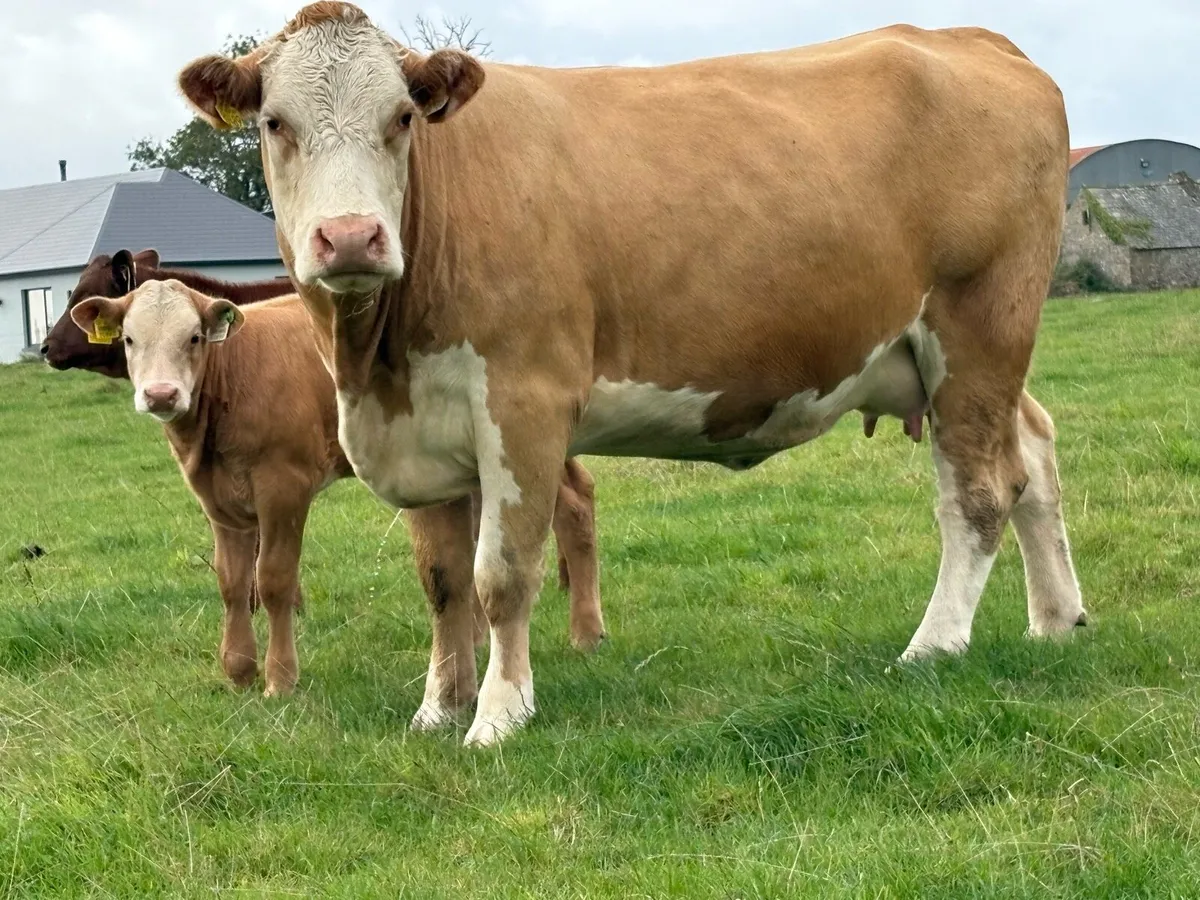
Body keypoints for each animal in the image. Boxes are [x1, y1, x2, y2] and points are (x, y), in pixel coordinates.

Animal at [66, 277, 607, 702]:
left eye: (195, 337)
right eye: (129, 340)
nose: (161, 395)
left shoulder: (283, 486)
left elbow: (274, 579)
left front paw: (280, 678)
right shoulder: (218, 499)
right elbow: (232, 582)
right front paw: (238, 670)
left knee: (574, 506)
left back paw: (586, 633)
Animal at [179, 3, 1087, 746]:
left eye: (401, 117)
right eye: (274, 123)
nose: (351, 237)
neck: (376, 360)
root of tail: (977, 40)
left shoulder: (525, 403)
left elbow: (501, 576)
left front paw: (498, 716)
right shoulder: (418, 427)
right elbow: (441, 582)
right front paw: (437, 708)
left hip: (978, 326)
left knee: (978, 491)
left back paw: (933, 645)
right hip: (958, 360)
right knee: (1033, 453)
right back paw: (1055, 619)